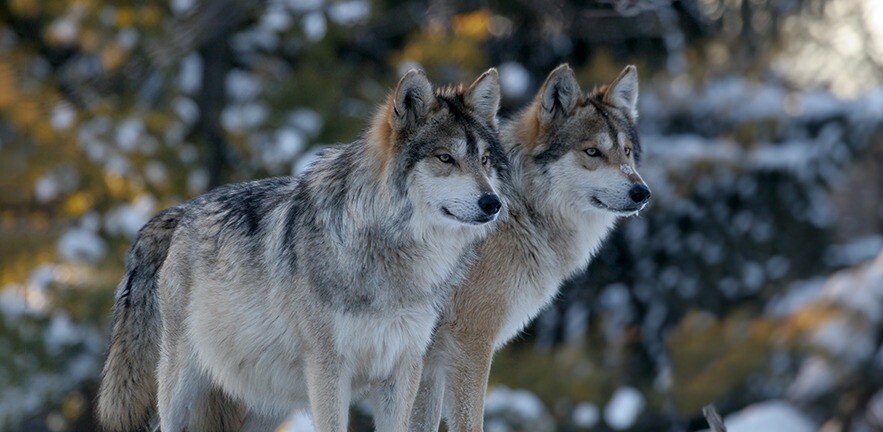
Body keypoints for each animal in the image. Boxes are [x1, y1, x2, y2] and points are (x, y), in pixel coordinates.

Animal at [96, 68, 509, 432]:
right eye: (445, 158)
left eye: (485, 160)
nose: (493, 203)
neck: (394, 255)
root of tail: (182, 211)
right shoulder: (328, 369)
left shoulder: (403, 369)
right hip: (182, 383)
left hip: (263, 405)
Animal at [409, 64, 650, 432]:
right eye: (592, 152)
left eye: (625, 151)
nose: (642, 192)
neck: (522, 210)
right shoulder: (470, 344)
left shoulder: (432, 361)